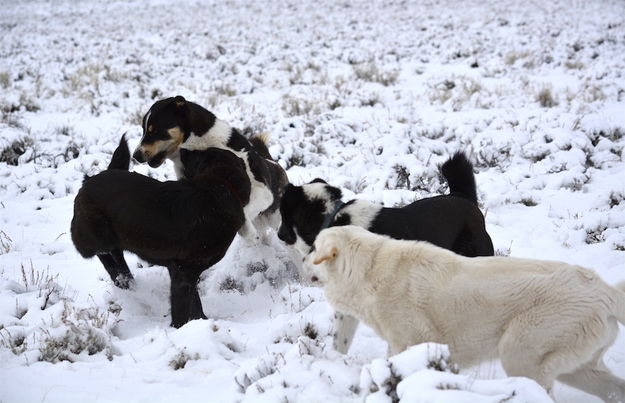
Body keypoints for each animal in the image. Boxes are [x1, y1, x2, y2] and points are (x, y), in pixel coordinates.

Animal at [69, 136, 250, 328]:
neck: (221, 186)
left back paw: (125, 279)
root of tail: (89, 180)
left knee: (116, 253)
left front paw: (200, 322)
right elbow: (182, 306)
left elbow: (194, 301)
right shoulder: (183, 271)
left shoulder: (182, 271)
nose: (183, 149)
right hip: (98, 234)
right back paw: (119, 276)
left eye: (199, 156)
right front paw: (180, 328)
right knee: (101, 252)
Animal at [134, 96, 290, 245]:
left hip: (275, 217)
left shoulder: (262, 192)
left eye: (155, 131)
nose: (135, 156)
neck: (200, 144)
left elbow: (239, 210)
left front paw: (249, 233)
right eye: (143, 130)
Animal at [306, 226, 624, 402]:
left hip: (521, 353)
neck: (368, 272)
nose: (301, 259)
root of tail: (606, 291)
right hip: (578, 368)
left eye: (313, 249)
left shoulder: (411, 342)